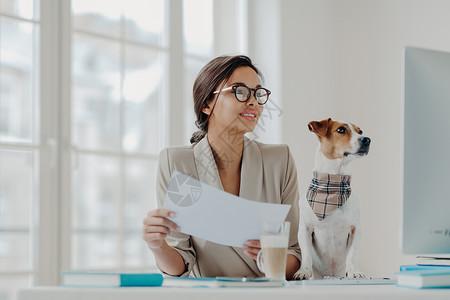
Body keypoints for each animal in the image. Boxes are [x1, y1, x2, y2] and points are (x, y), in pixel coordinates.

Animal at [294, 118, 370, 280]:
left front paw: (354, 272)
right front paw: (303, 271)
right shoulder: (304, 229)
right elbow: (306, 254)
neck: (332, 186)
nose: (367, 139)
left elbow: (352, 255)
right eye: (341, 130)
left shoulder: (356, 229)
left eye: (360, 131)